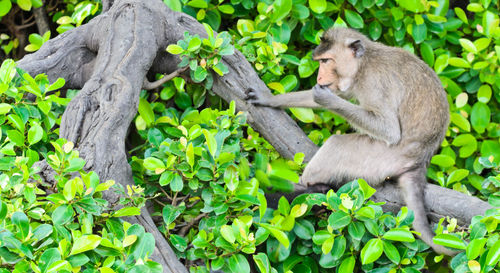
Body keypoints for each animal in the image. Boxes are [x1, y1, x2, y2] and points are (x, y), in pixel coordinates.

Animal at [246, 26, 458, 254]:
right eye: (320, 61)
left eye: (326, 61)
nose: (319, 76)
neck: (363, 64)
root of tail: (421, 160)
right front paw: (269, 99)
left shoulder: (374, 83)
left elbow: (389, 130)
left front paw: (327, 98)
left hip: (381, 158)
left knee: (336, 145)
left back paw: (307, 190)